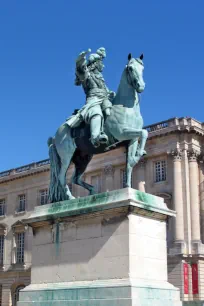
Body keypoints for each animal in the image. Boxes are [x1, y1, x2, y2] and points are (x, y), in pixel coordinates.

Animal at [48, 53, 147, 203]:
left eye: (142, 68)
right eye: (130, 68)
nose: (141, 86)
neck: (127, 107)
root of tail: (55, 137)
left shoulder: (132, 139)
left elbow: (130, 162)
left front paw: (129, 185)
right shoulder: (122, 133)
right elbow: (144, 132)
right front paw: (139, 154)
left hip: (83, 157)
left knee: (75, 178)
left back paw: (92, 191)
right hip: (67, 156)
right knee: (62, 177)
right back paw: (70, 197)